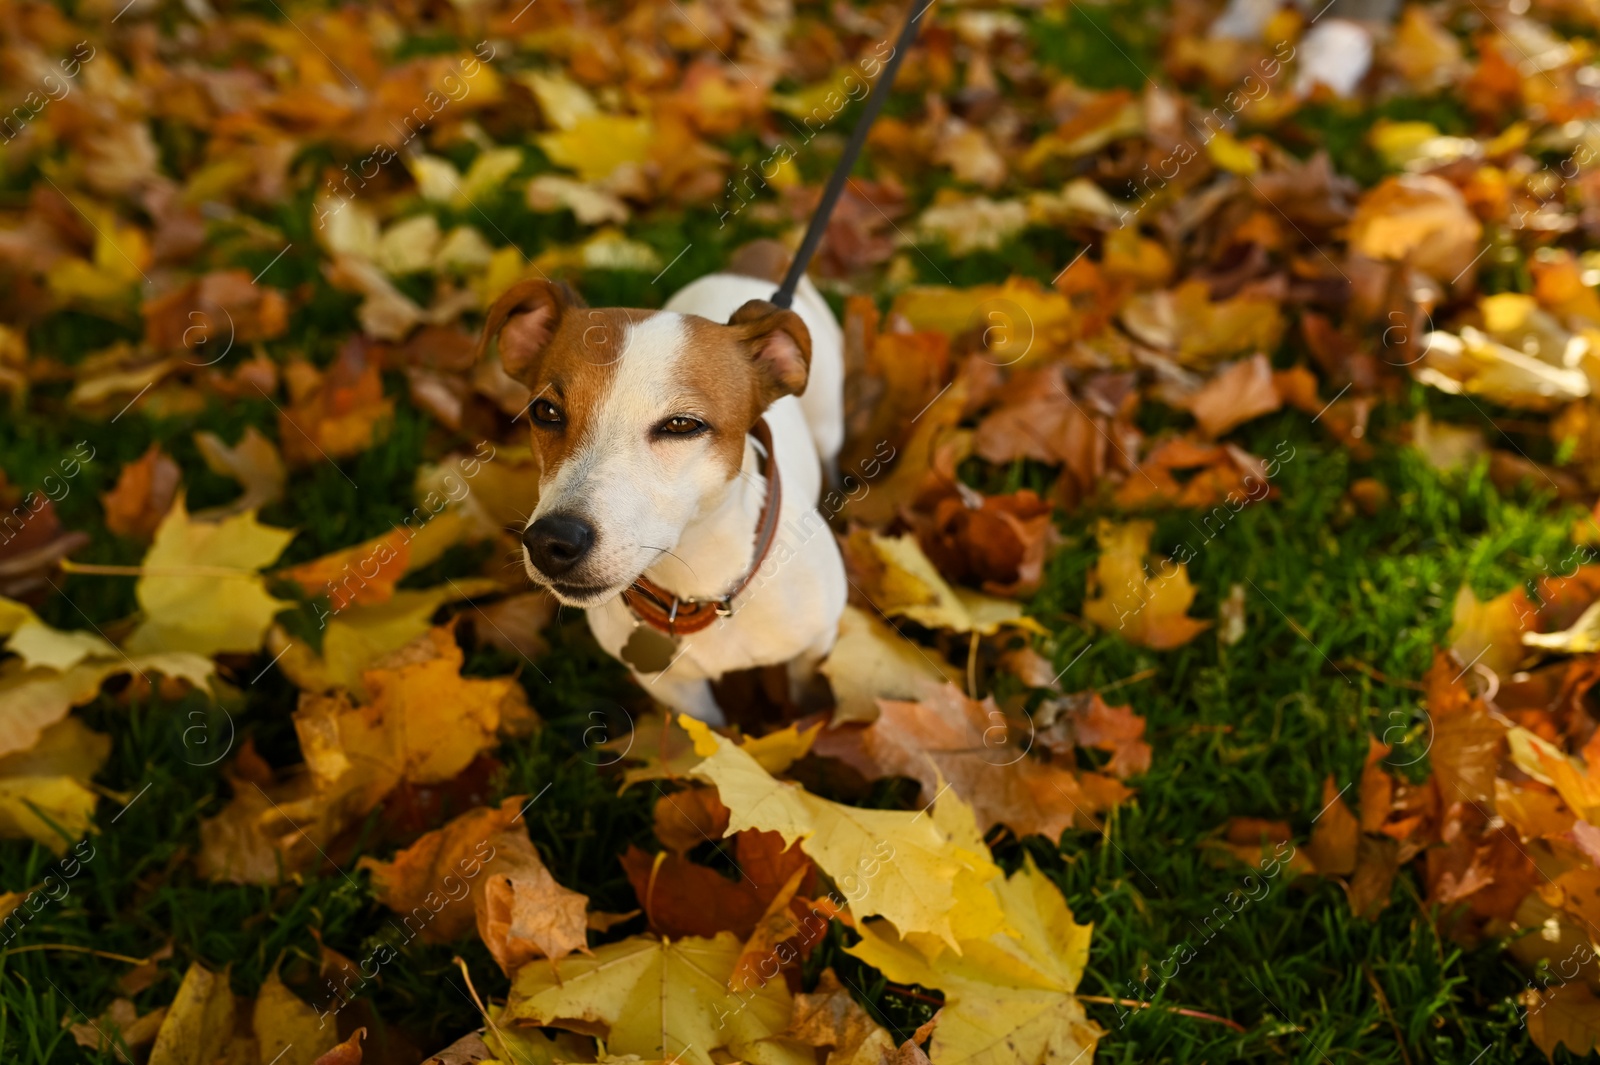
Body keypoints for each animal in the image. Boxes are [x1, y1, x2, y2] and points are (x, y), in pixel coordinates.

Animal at [473, 255, 851, 722]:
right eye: (545, 412)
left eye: (682, 424)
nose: (550, 541)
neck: (700, 587)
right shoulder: (678, 692)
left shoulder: (814, 650)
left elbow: (808, 699)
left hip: (829, 422)